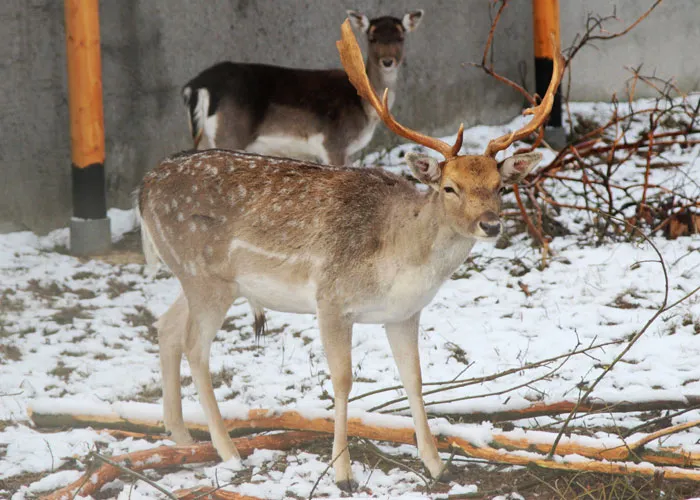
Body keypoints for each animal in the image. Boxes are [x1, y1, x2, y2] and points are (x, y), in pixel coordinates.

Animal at [182, 9, 422, 165]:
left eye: (401, 37)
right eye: (372, 37)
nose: (388, 61)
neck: (365, 110)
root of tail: (197, 85)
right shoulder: (333, 144)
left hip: (203, 138)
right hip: (229, 135)